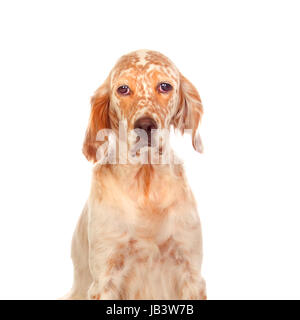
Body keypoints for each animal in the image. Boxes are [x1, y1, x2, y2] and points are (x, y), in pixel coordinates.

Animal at [65, 50, 206, 300]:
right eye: (123, 89)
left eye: (165, 86)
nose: (146, 125)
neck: (145, 182)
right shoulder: (105, 277)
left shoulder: (190, 272)